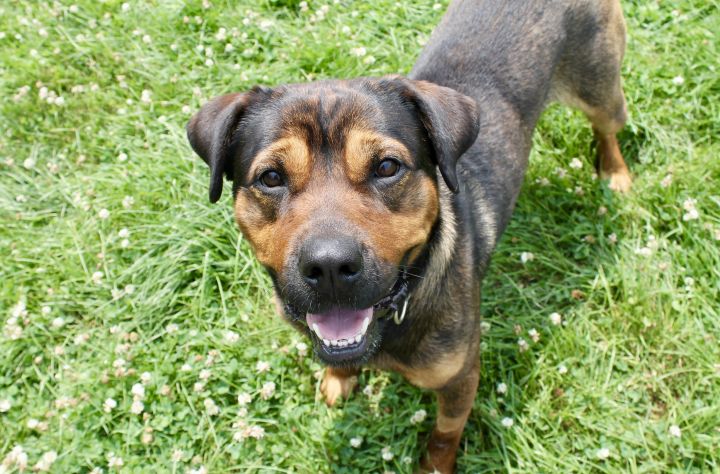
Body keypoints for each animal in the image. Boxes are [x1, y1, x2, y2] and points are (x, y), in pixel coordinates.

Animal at [184, 0, 632, 470]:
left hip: (600, 87)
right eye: (270, 177)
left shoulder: (461, 377)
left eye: (386, 167)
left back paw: (614, 173)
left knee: (608, 127)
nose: (329, 266)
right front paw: (338, 377)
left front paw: (434, 465)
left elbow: (444, 436)